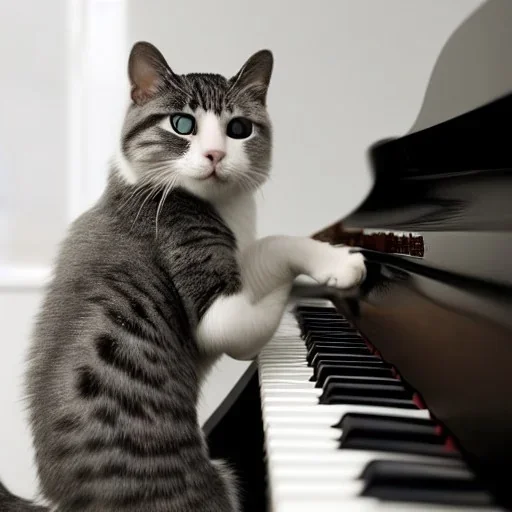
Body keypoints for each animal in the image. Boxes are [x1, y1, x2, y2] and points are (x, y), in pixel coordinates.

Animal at [1, 42, 368, 510]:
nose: (215, 154)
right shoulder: (205, 283)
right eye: (182, 124)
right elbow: (272, 247)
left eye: (239, 128)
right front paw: (337, 263)